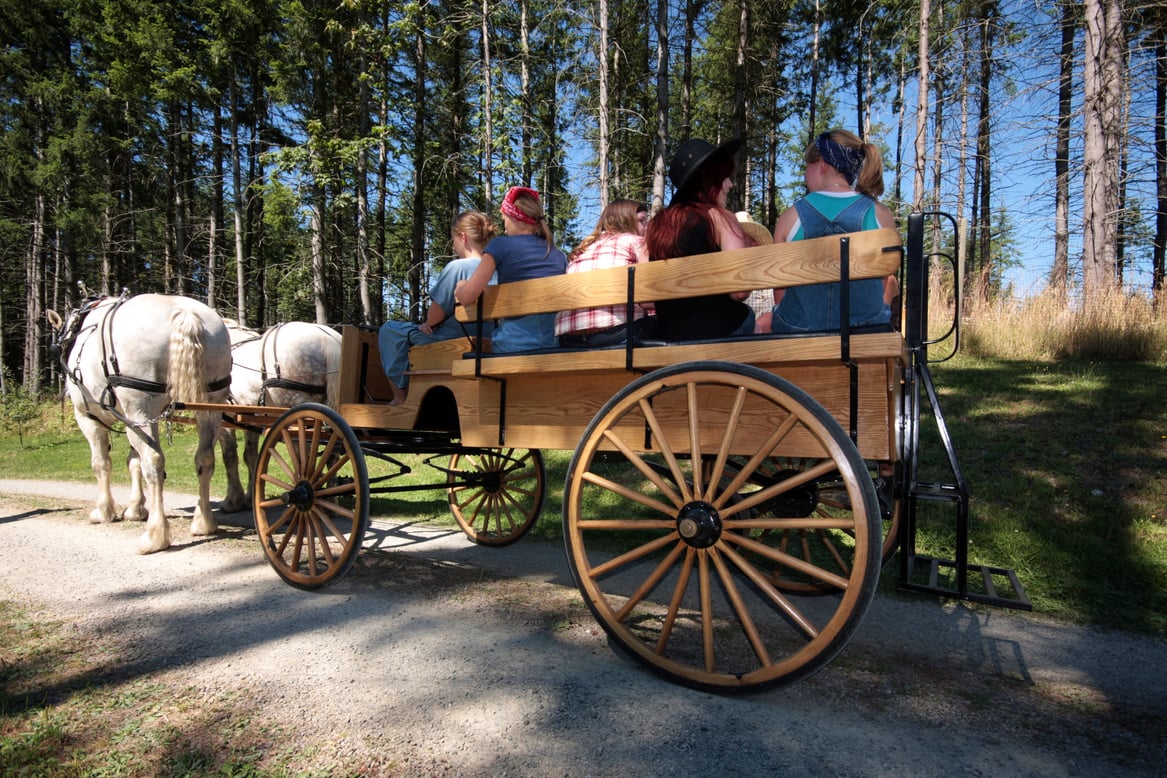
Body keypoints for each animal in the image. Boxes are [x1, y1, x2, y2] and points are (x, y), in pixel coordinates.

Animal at [47, 291, 232, 552]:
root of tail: (184, 313)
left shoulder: (88, 417)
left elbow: (101, 463)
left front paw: (103, 511)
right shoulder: (126, 417)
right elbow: (132, 461)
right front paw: (135, 509)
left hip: (140, 407)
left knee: (154, 462)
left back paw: (155, 536)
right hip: (212, 401)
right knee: (204, 459)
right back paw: (204, 523)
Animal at [217, 319, 340, 513]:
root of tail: (328, 338)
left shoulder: (222, 417)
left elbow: (229, 455)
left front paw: (232, 501)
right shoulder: (250, 417)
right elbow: (250, 456)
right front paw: (250, 497)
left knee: (304, 459)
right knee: (332, 455)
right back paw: (331, 503)